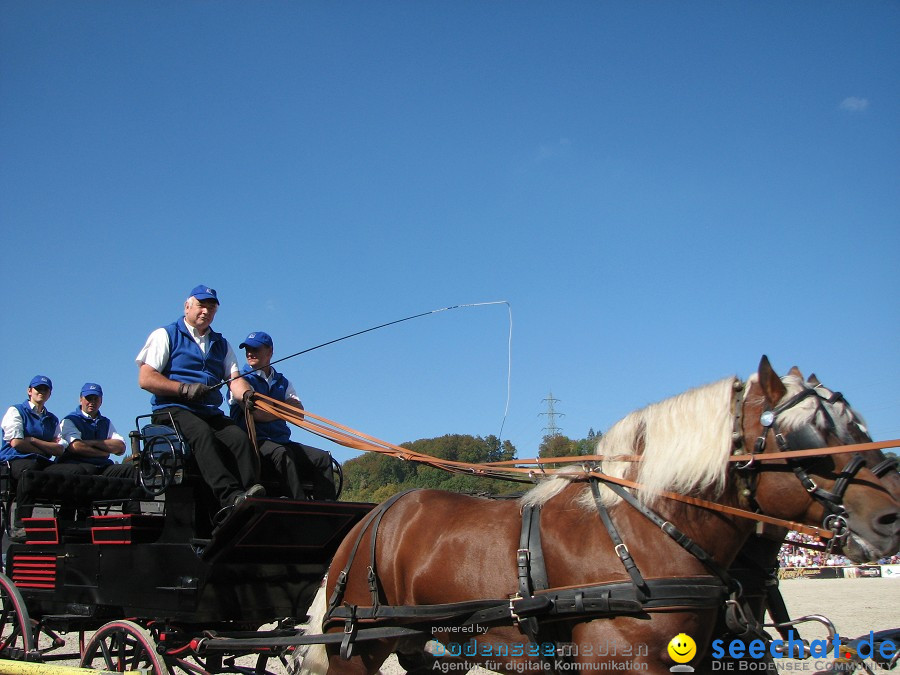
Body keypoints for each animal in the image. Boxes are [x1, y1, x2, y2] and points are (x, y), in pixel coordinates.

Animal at [298, 356, 900, 672]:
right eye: (805, 436)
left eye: (855, 425)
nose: (890, 518)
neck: (643, 534)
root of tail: (369, 520)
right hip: (358, 646)